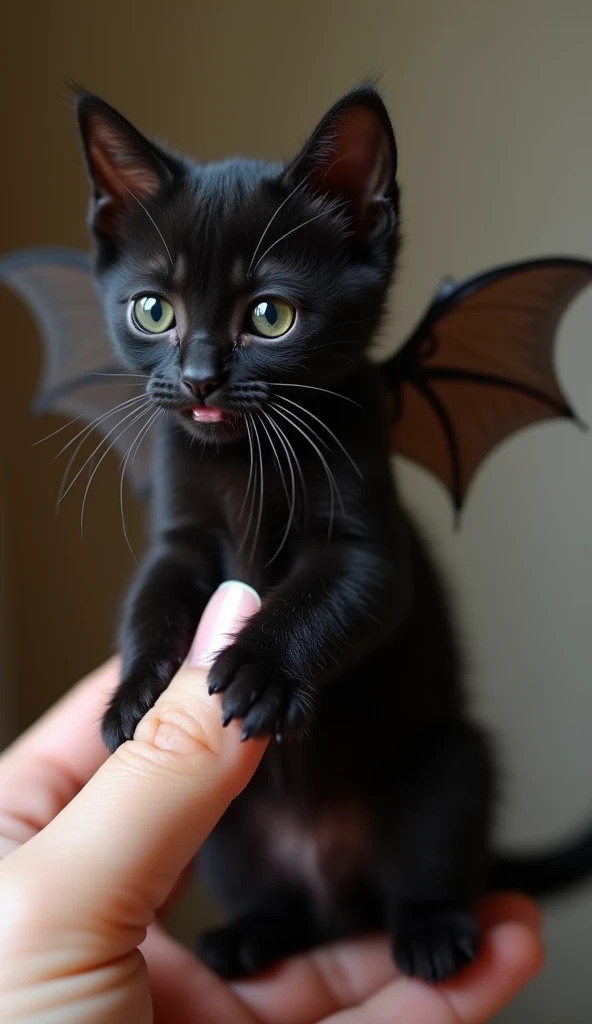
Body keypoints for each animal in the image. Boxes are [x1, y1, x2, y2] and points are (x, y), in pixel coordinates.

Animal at [77, 88, 493, 983]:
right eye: (154, 310)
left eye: (270, 316)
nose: (199, 378)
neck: (244, 460)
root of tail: (335, 894)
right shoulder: (182, 531)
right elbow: (152, 595)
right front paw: (134, 690)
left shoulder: (369, 539)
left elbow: (345, 593)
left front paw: (260, 671)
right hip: (233, 840)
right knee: (275, 901)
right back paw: (248, 936)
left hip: (448, 764)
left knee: (429, 854)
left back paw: (434, 934)